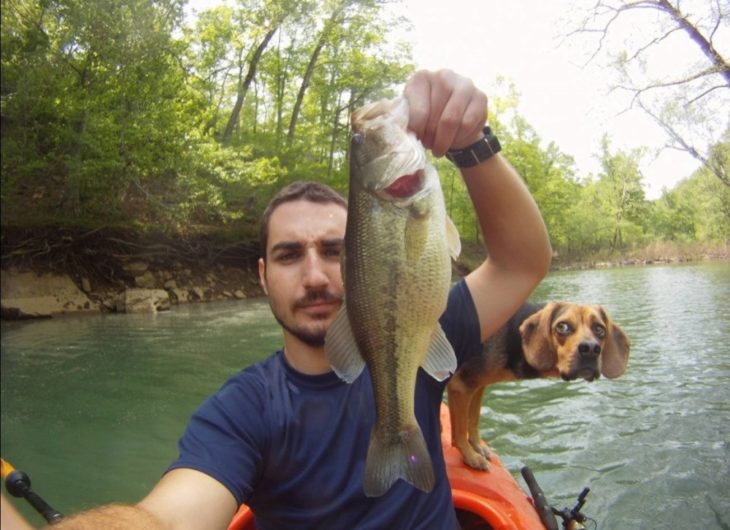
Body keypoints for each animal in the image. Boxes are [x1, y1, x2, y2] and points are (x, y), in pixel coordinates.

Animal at [446, 300, 628, 468]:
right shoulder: (461, 386)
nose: (590, 349)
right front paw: (471, 457)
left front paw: (477, 447)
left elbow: (473, 421)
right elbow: (460, 431)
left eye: (599, 329)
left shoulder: (477, 386)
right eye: (562, 327)